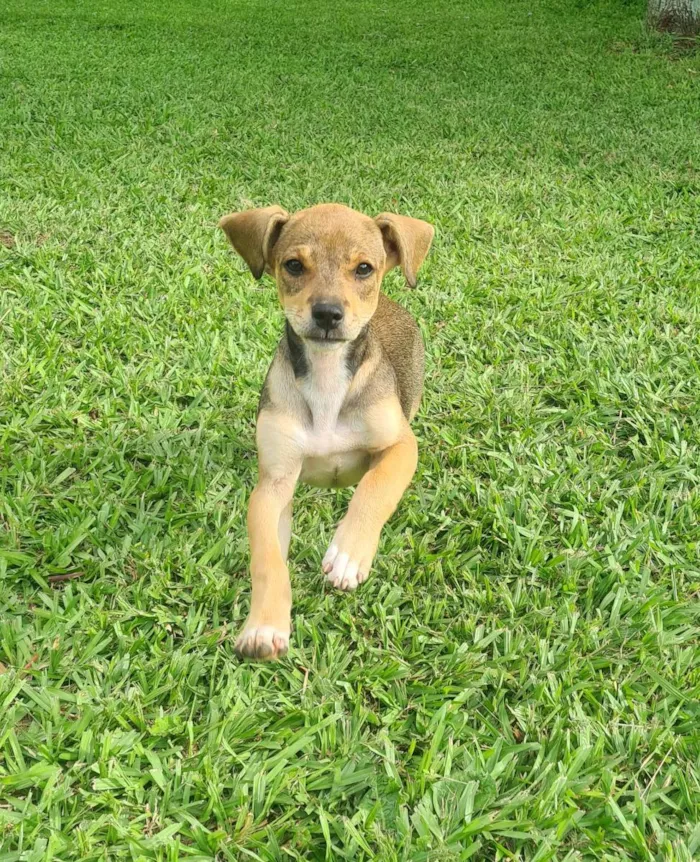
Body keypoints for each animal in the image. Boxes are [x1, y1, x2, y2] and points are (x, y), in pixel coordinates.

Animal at [221, 202, 434, 660]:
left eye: (364, 268)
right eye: (293, 265)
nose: (327, 313)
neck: (326, 375)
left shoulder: (401, 445)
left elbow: (376, 487)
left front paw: (349, 553)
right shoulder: (274, 484)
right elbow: (267, 559)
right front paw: (264, 626)